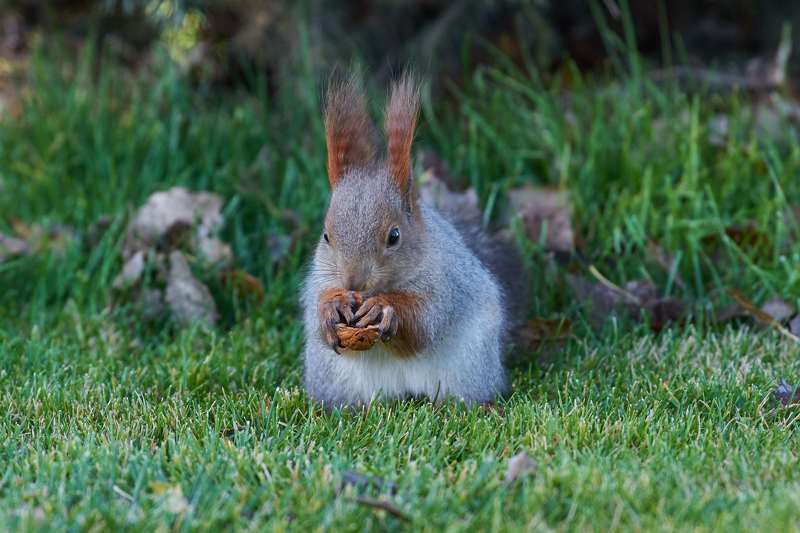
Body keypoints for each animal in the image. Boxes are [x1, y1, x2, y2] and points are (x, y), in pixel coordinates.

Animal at [302, 72, 525, 408]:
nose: (353, 282)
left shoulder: (445, 284)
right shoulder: (319, 280)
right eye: (326, 236)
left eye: (394, 236)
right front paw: (332, 306)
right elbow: (318, 310)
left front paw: (384, 309)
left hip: (469, 367)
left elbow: (426, 321)